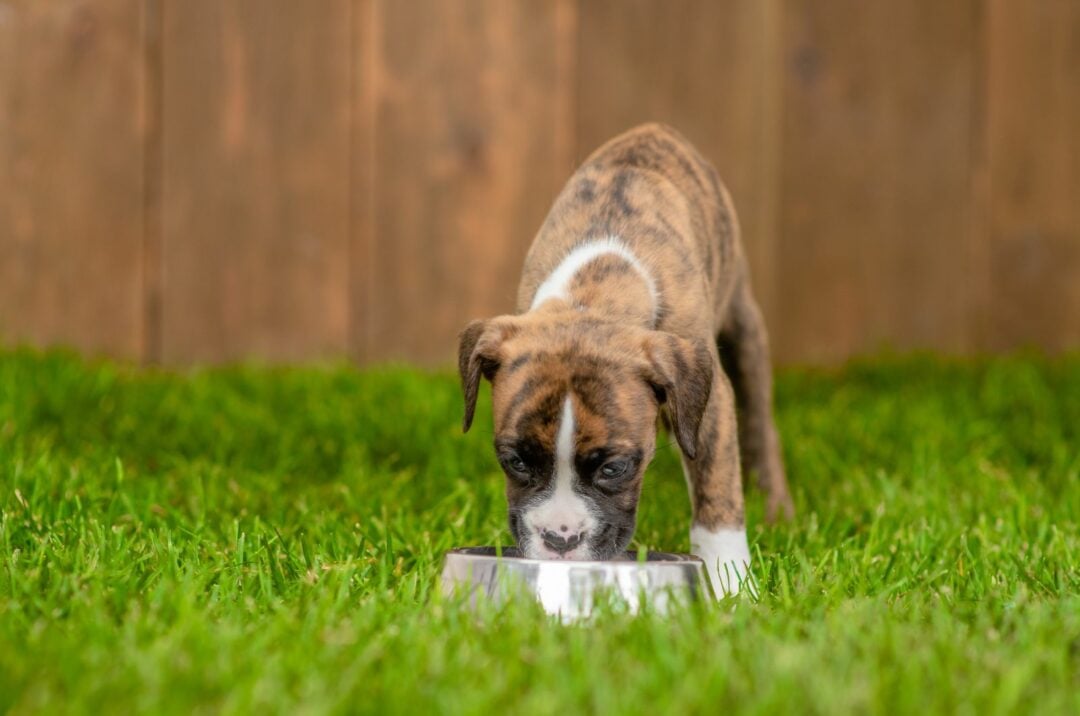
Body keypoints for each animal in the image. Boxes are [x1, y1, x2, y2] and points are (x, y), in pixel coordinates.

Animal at [455, 124, 794, 600]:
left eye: (614, 468)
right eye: (516, 461)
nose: (560, 540)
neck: (593, 293)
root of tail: (655, 129)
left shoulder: (712, 407)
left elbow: (717, 489)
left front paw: (731, 582)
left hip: (744, 327)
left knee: (760, 425)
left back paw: (775, 507)